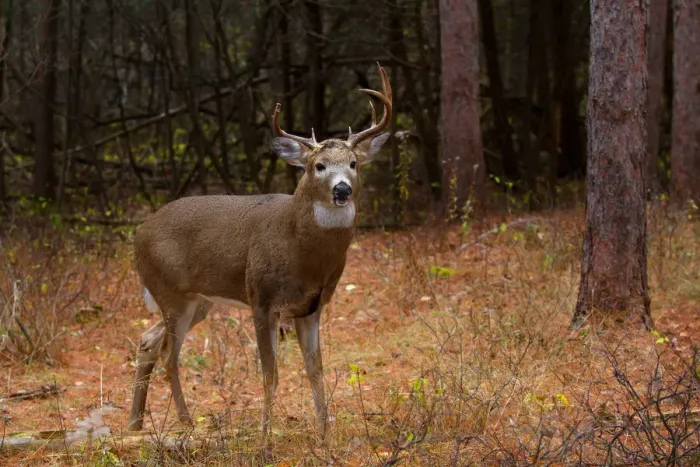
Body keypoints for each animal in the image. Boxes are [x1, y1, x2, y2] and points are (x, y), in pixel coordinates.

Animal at [127, 64, 392, 443]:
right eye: (318, 166)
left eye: (354, 163)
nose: (342, 190)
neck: (303, 253)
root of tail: (139, 234)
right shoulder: (261, 299)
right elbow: (271, 373)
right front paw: (266, 434)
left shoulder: (312, 306)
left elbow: (315, 369)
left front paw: (324, 433)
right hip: (170, 292)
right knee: (168, 355)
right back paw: (186, 422)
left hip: (198, 300)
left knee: (148, 340)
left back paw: (135, 424)